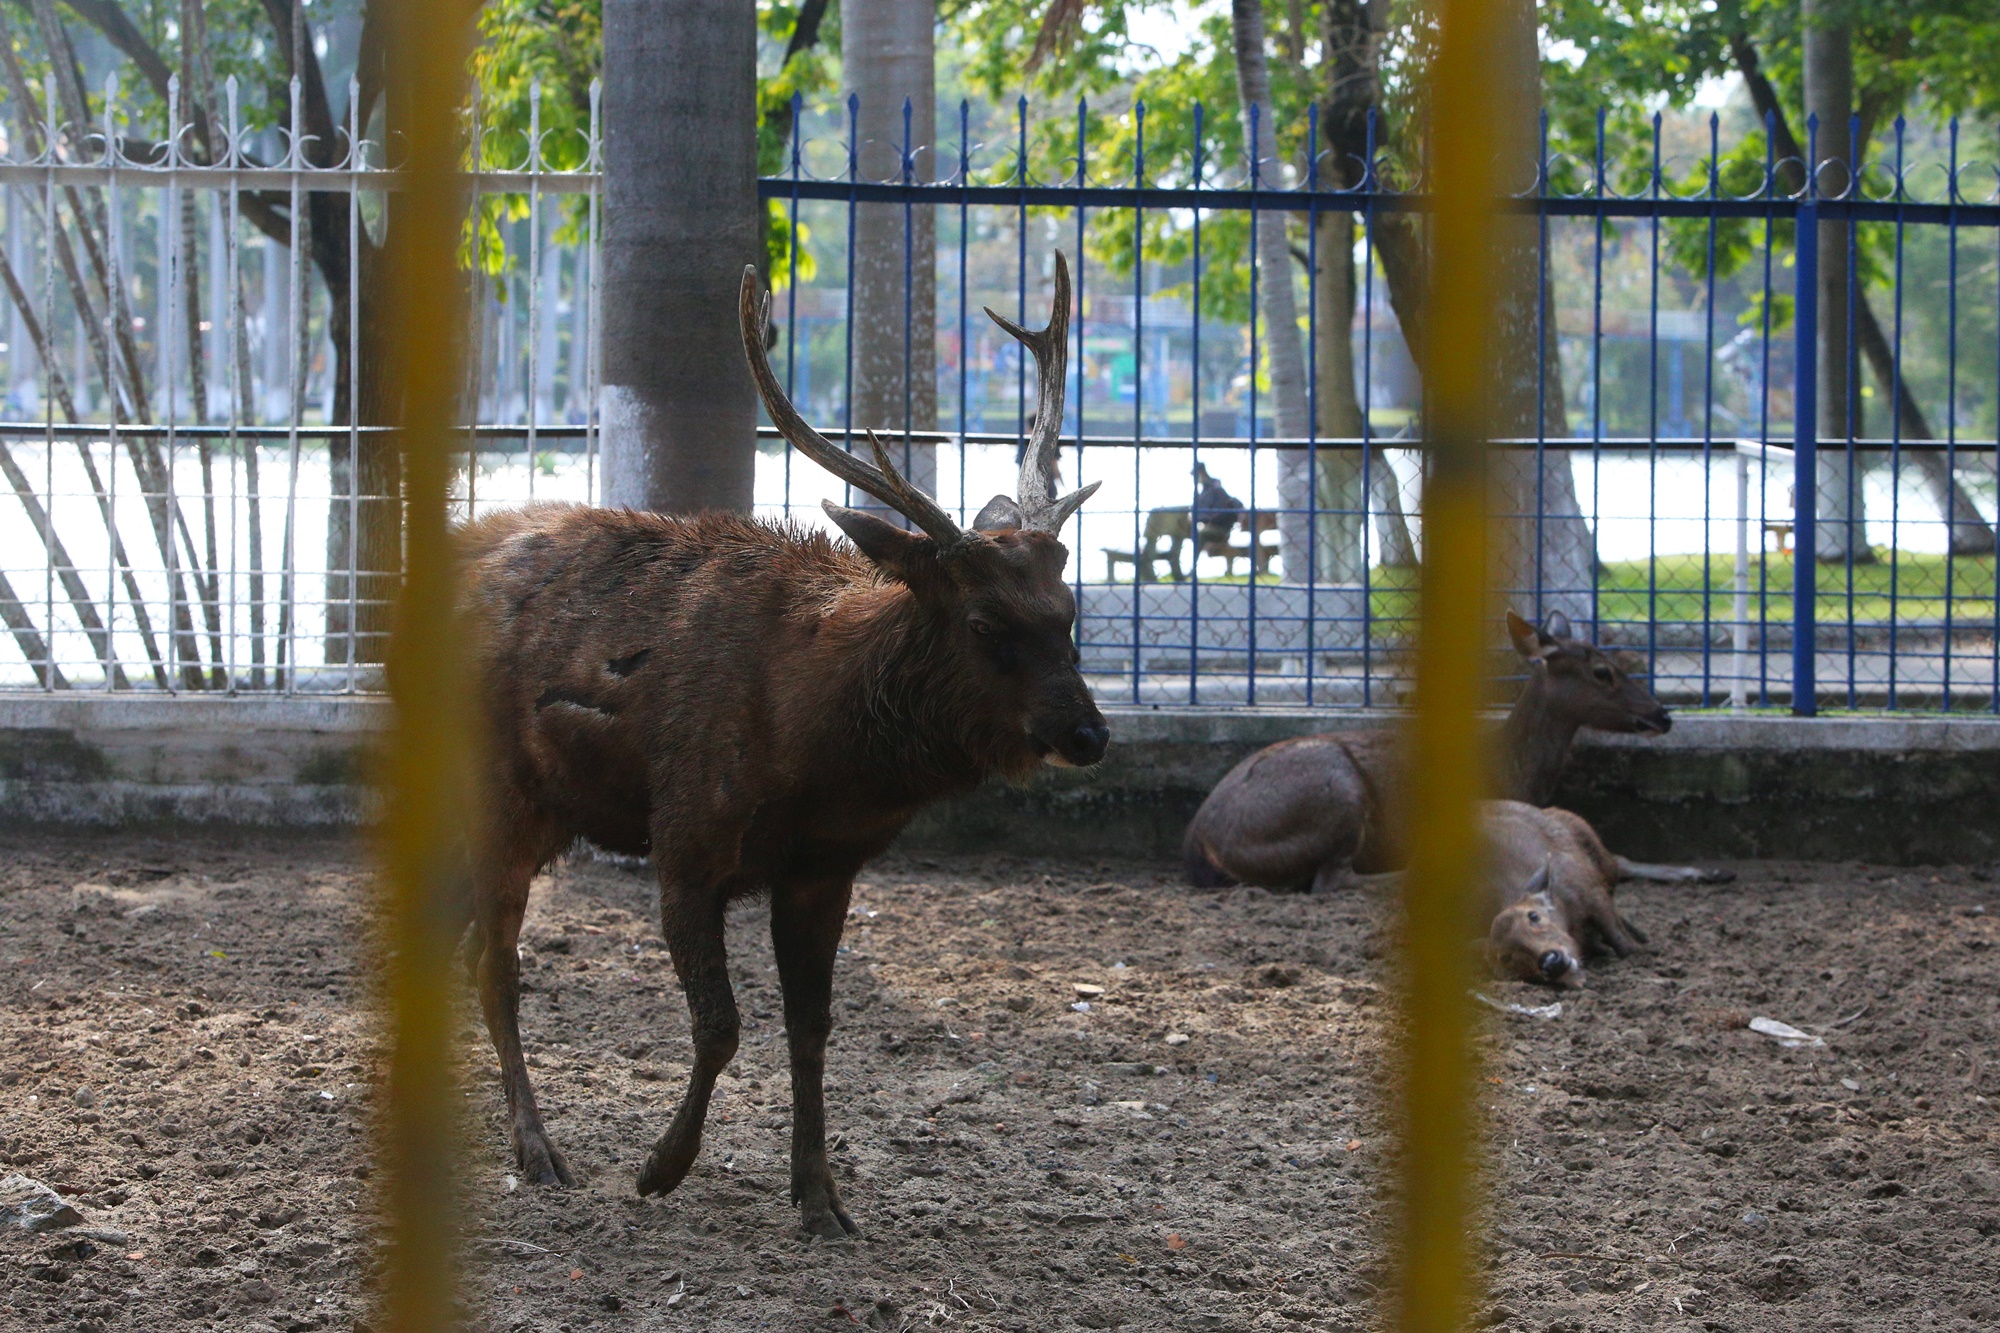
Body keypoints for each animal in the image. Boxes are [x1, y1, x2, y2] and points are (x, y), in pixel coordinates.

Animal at [458, 252, 1112, 1232]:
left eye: (1071, 613)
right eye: (987, 622)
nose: (1089, 732)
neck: (814, 748)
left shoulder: (824, 867)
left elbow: (813, 1027)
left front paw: (819, 1195)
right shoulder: (685, 839)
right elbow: (721, 1023)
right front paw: (660, 1166)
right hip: (495, 793)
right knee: (494, 960)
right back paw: (537, 1150)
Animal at [1176, 608, 1728, 888]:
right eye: (1602, 671)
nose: (1663, 715)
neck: (1515, 772)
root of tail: (1201, 844)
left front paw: (1706, 869)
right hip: (1335, 792)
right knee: (1335, 880)